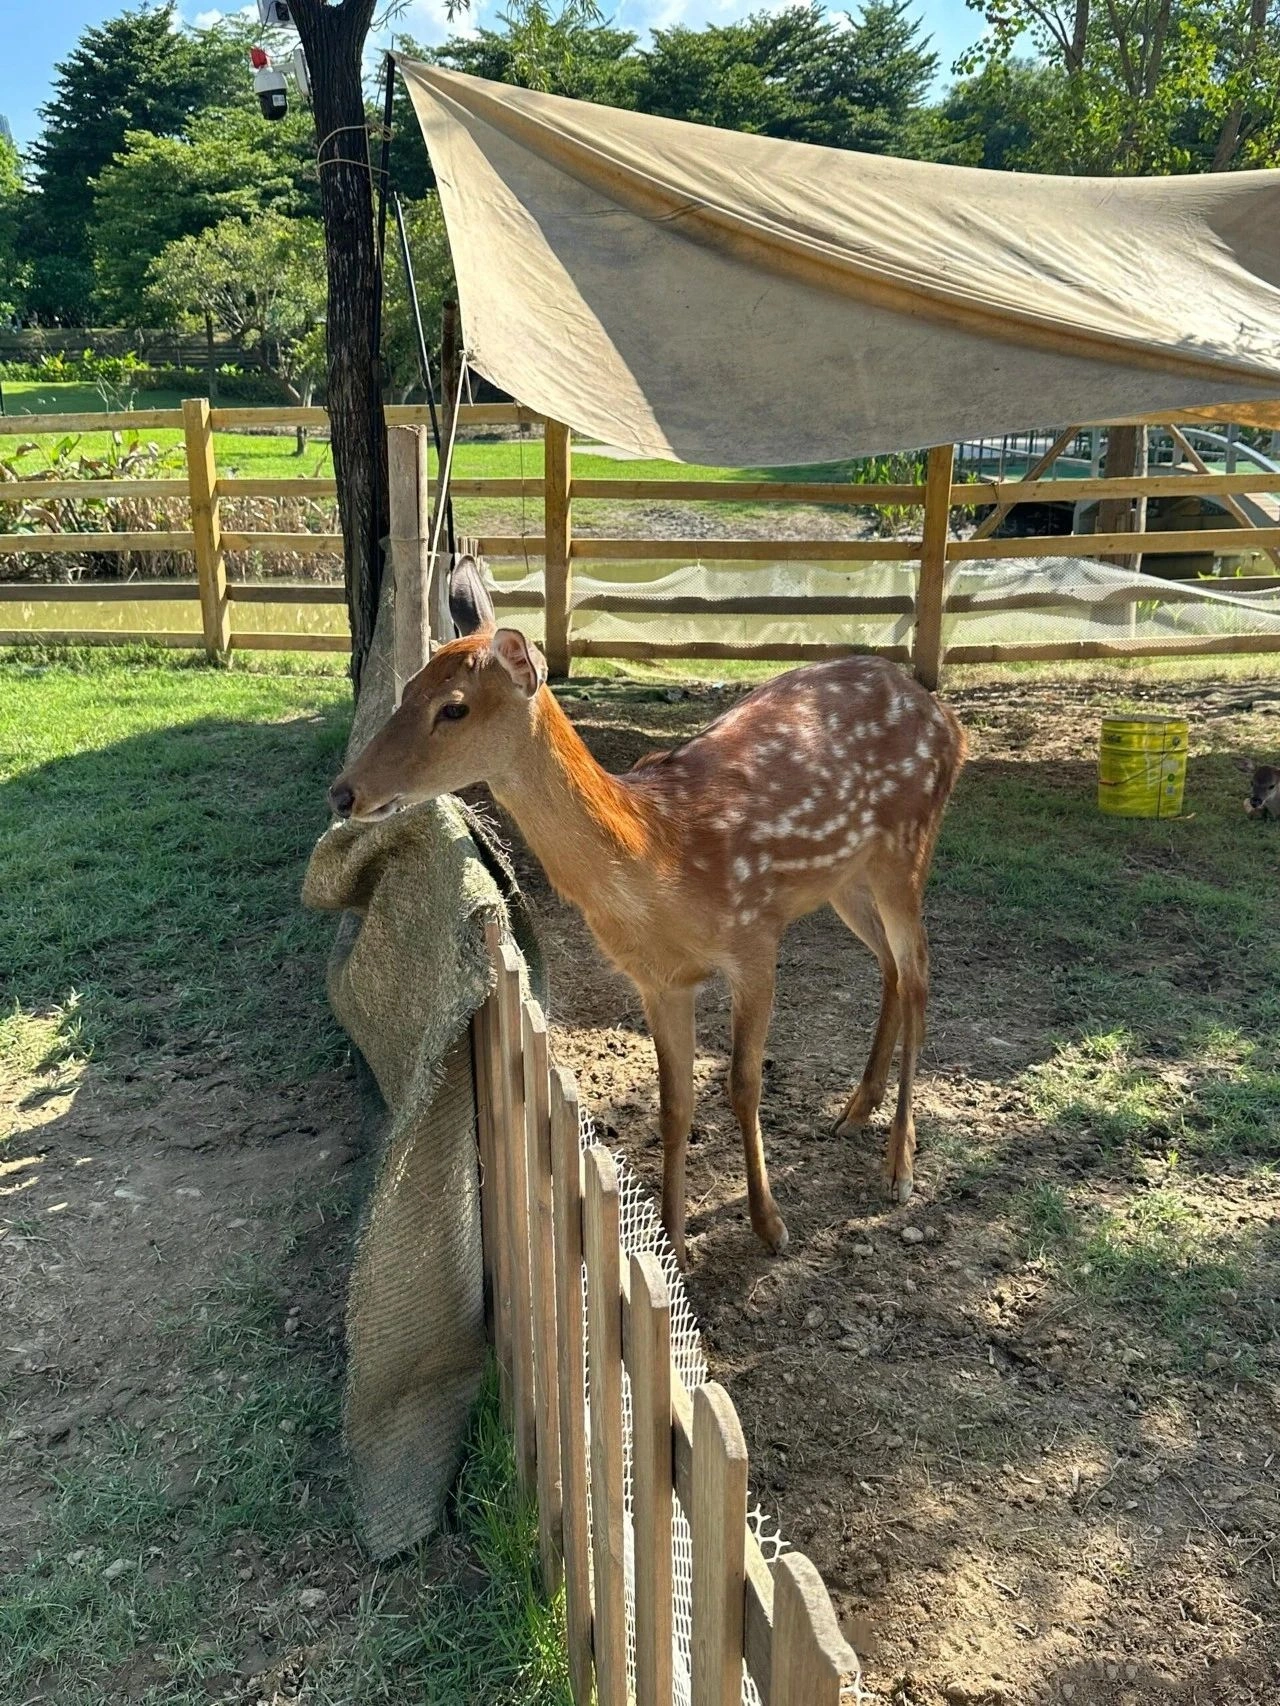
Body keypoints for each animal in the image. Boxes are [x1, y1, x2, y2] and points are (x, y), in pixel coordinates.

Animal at [325, 631, 969, 1269]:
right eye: (406, 689)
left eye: (454, 707)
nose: (343, 792)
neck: (658, 855)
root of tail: (948, 721)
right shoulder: (659, 980)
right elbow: (673, 1105)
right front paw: (675, 1248)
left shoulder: (756, 937)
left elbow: (743, 1084)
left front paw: (770, 1226)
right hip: (845, 879)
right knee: (890, 967)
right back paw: (856, 1110)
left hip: (906, 846)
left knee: (919, 972)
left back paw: (899, 1168)